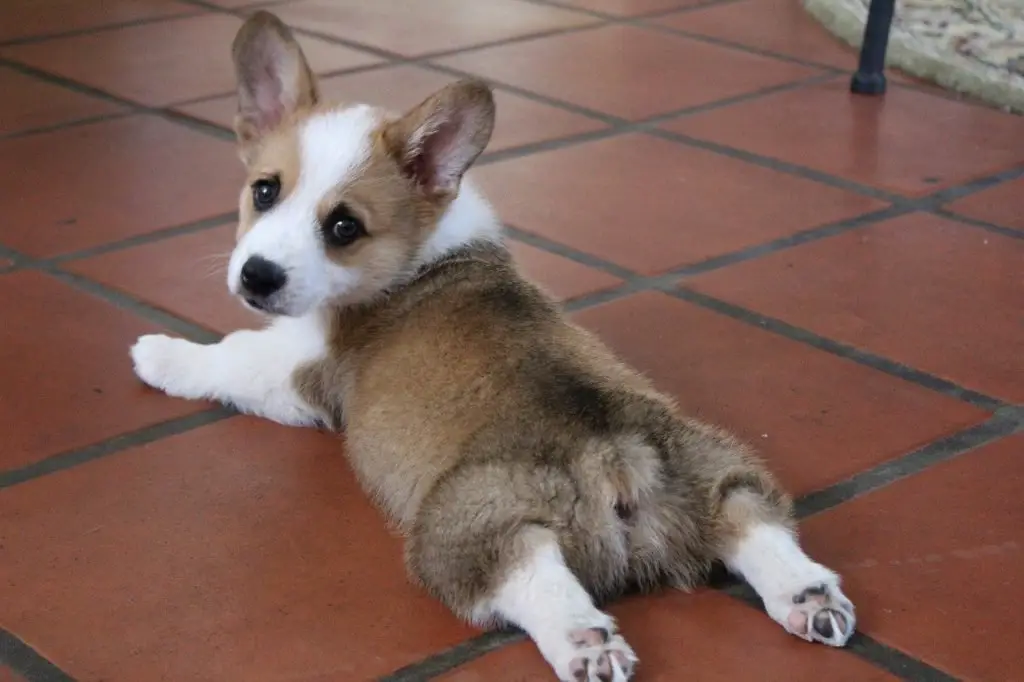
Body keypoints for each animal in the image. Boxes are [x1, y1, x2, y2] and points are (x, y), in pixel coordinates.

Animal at [134, 11, 856, 679]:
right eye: (264, 190)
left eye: (343, 227)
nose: (257, 276)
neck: (421, 249)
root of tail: (612, 455)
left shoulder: (299, 374)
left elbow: (230, 356)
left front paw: (160, 354)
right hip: (721, 470)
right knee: (752, 518)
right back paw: (810, 597)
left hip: (465, 528)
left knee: (528, 574)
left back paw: (586, 642)